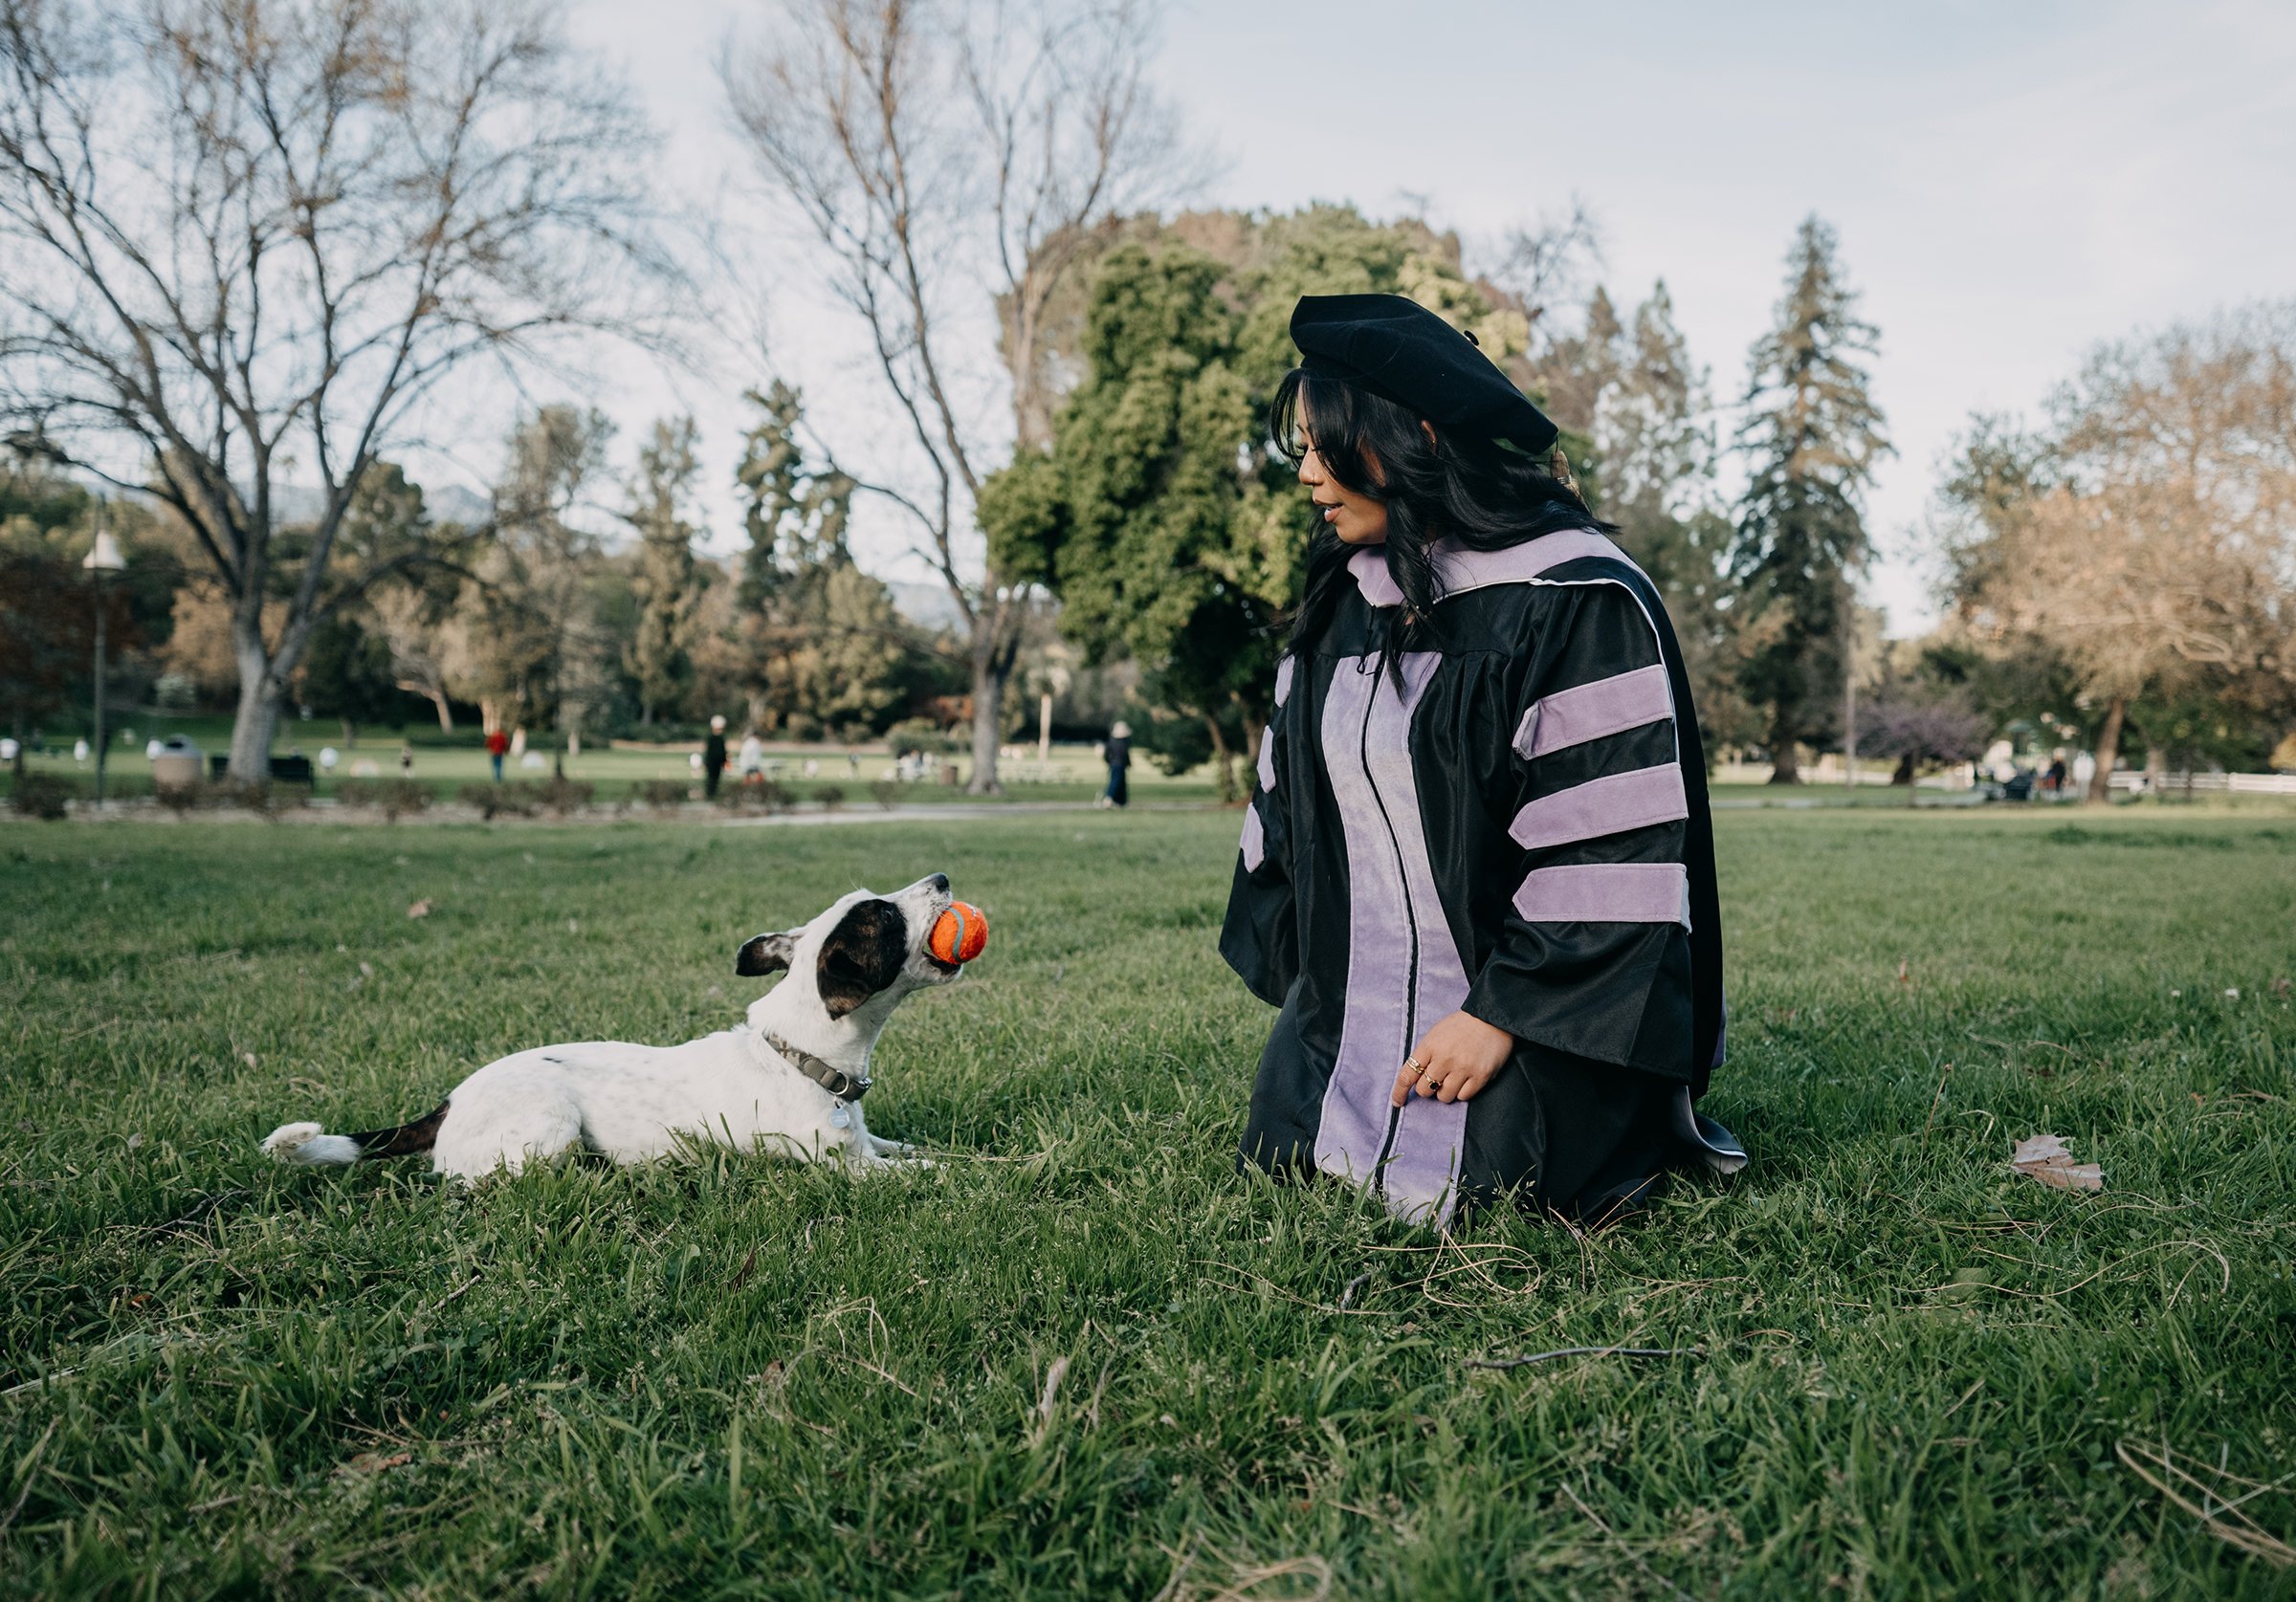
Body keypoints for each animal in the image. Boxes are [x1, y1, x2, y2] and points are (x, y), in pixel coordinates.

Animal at [266, 871, 968, 1174]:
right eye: (885, 917)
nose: (941, 876)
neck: (799, 1058)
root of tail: (446, 1107)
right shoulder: (851, 1171)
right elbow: (936, 1174)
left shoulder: (871, 1145)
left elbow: (923, 1150)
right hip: (552, 1129)